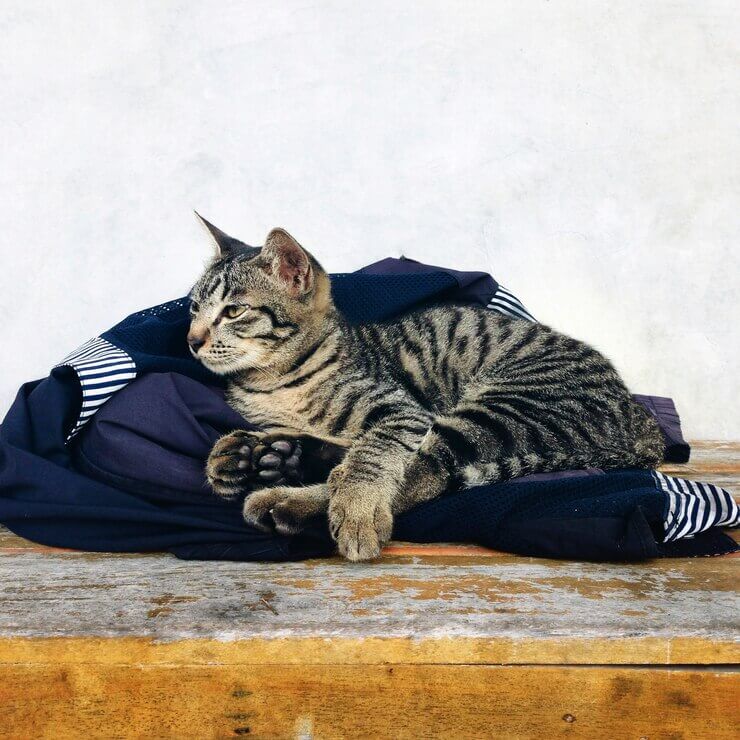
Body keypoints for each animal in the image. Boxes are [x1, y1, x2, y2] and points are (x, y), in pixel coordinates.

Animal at [189, 218, 664, 560]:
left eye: (233, 311)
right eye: (194, 308)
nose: (191, 341)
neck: (274, 380)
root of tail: (639, 416)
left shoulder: (404, 410)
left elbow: (374, 455)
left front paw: (357, 508)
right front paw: (241, 451)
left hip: (504, 404)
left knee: (426, 474)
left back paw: (291, 500)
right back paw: (271, 456)